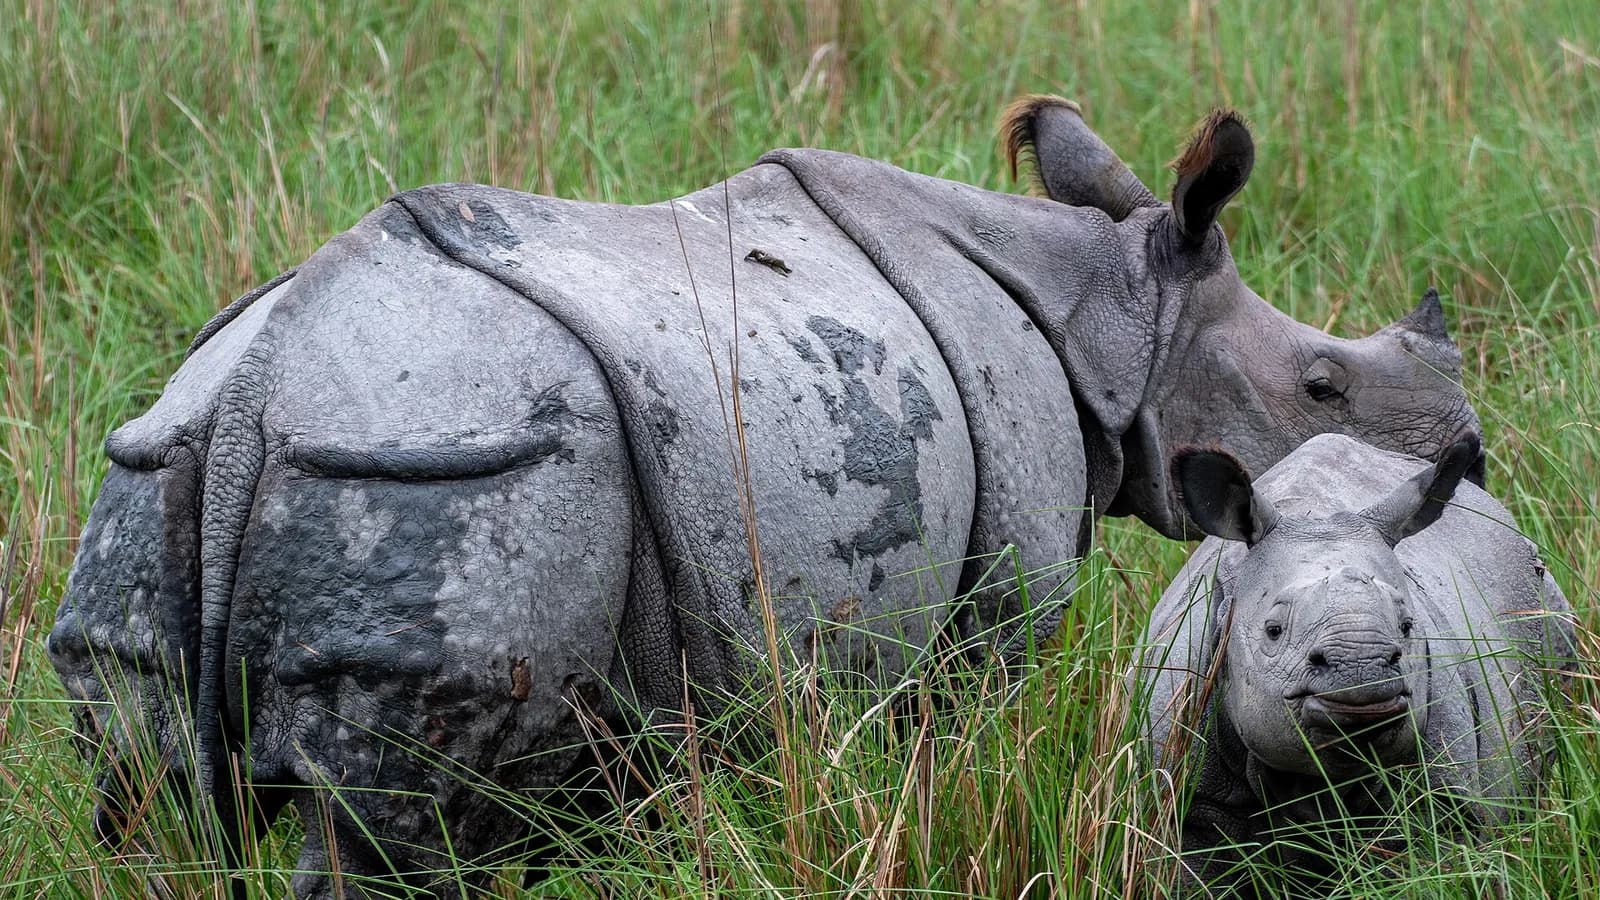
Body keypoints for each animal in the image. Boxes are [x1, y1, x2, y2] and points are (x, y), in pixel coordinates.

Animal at [49, 97, 1481, 896]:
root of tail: (256, 398)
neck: (1111, 308)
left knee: (145, 810)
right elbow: (967, 739)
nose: (1466, 450)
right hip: (451, 471)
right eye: (1319, 386)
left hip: (164, 469)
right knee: (381, 838)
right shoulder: (993, 604)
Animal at [1134, 432, 1574, 894]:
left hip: (1544, 607)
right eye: (1273, 630)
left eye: (1407, 626)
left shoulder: (1441, 799)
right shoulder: (1191, 803)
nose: (1361, 668)